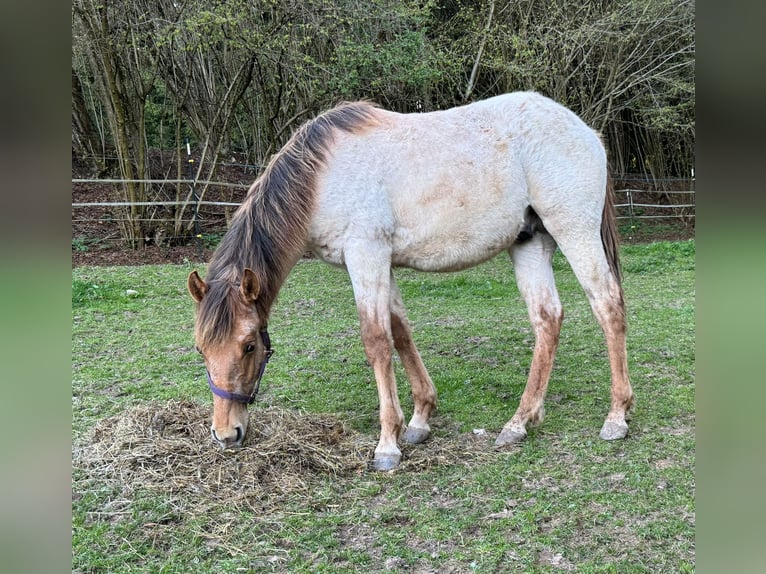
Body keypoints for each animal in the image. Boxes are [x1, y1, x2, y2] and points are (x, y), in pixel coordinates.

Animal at [188, 92, 634, 471]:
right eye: (201, 350)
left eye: (249, 345)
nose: (226, 433)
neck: (322, 177)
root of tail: (585, 131)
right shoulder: (380, 263)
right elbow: (400, 333)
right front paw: (420, 419)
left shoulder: (366, 255)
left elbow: (376, 342)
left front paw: (388, 443)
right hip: (530, 242)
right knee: (547, 318)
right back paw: (520, 421)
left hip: (573, 231)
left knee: (607, 306)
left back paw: (616, 415)